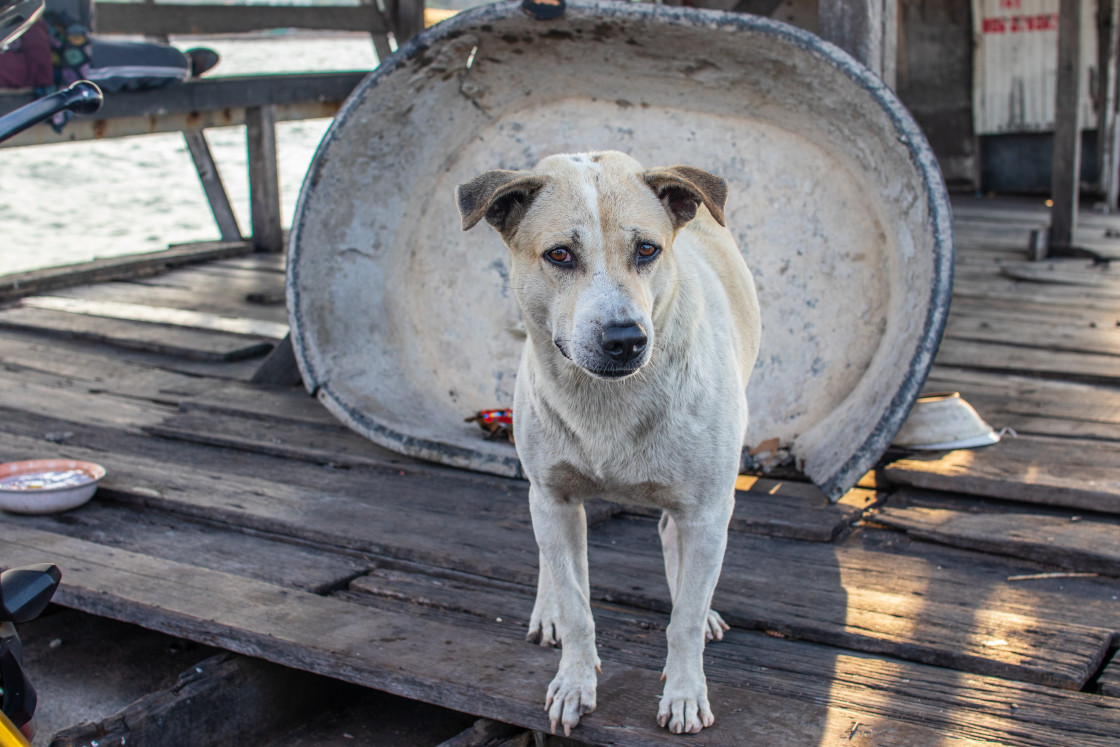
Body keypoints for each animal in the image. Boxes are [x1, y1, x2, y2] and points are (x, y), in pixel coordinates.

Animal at [454, 150, 761, 734]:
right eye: (559, 254)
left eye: (647, 249)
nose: (624, 339)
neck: (608, 398)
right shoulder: (553, 497)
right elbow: (577, 605)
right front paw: (574, 683)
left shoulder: (709, 508)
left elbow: (685, 618)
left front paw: (684, 693)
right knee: (555, 558)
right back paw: (547, 609)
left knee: (676, 543)